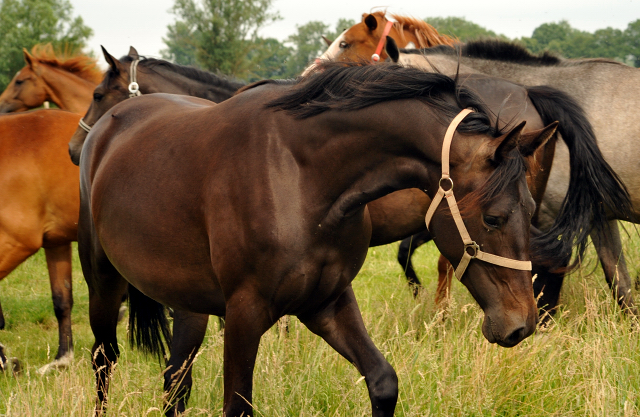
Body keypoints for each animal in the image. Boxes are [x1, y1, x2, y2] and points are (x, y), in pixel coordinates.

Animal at [77, 63, 552, 414]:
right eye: (493, 217)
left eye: (531, 211)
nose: (522, 325)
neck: (301, 174)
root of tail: (103, 133)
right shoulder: (244, 312)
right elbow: (238, 406)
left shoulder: (326, 301)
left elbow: (383, 381)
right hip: (103, 284)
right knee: (103, 361)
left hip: (190, 307)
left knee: (175, 382)